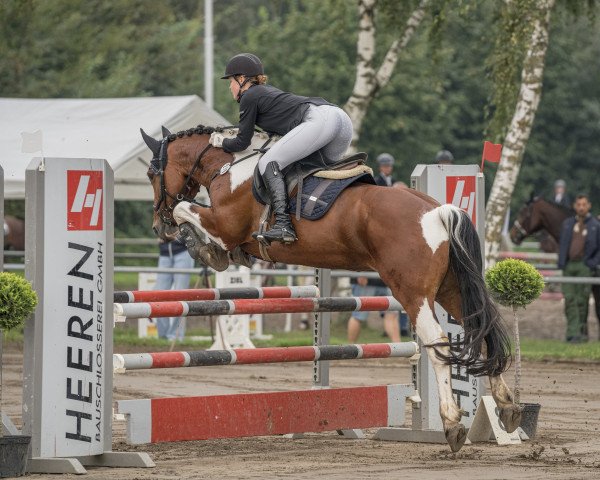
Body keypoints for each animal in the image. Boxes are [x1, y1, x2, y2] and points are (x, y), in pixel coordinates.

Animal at [141, 124, 520, 454]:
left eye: (150, 173)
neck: (230, 169)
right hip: (449, 288)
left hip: (413, 293)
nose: (158, 226)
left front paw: (201, 246)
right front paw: (211, 251)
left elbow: (185, 208)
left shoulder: (224, 225)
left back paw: (453, 424)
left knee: (438, 341)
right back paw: (507, 408)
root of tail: (439, 210)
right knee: (478, 328)